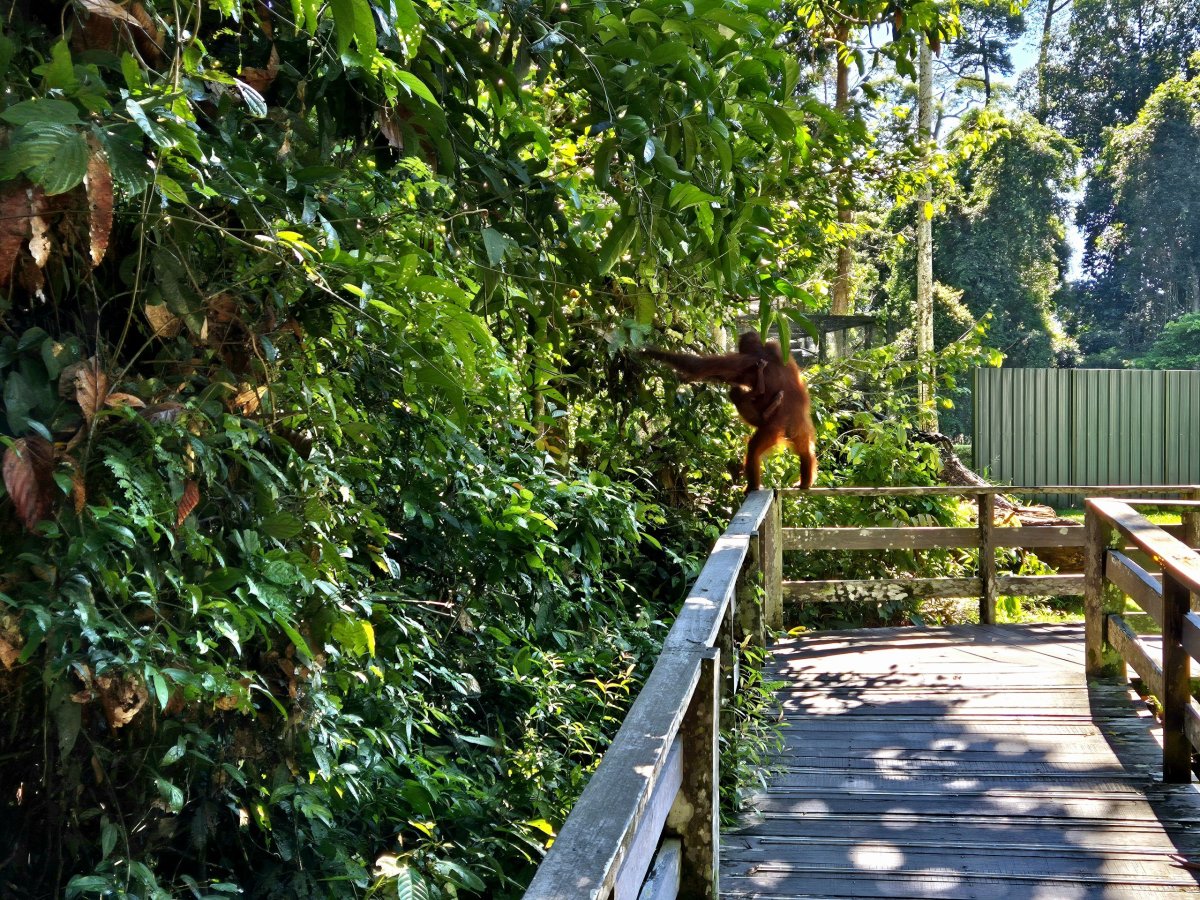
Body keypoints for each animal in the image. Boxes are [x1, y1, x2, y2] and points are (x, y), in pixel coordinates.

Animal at [643, 333, 817, 492]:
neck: (764, 351)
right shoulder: (777, 348)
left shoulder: (747, 360)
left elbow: (702, 366)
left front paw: (650, 352)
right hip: (801, 427)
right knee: (805, 450)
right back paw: (805, 482)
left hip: (771, 429)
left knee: (753, 450)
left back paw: (752, 487)